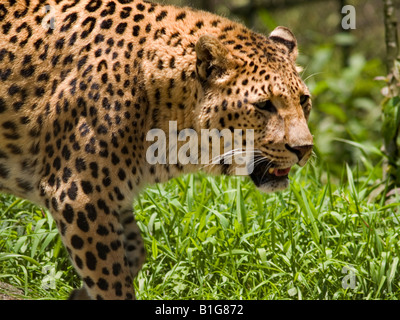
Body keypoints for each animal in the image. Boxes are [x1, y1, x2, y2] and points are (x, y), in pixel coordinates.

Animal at [0, 0, 312, 300]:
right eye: (265, 105)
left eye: (304, 101)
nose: (304, 149)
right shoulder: (78, 194)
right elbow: (112, 279)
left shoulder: (111, 196)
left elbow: (135, 250)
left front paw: (80, 295)